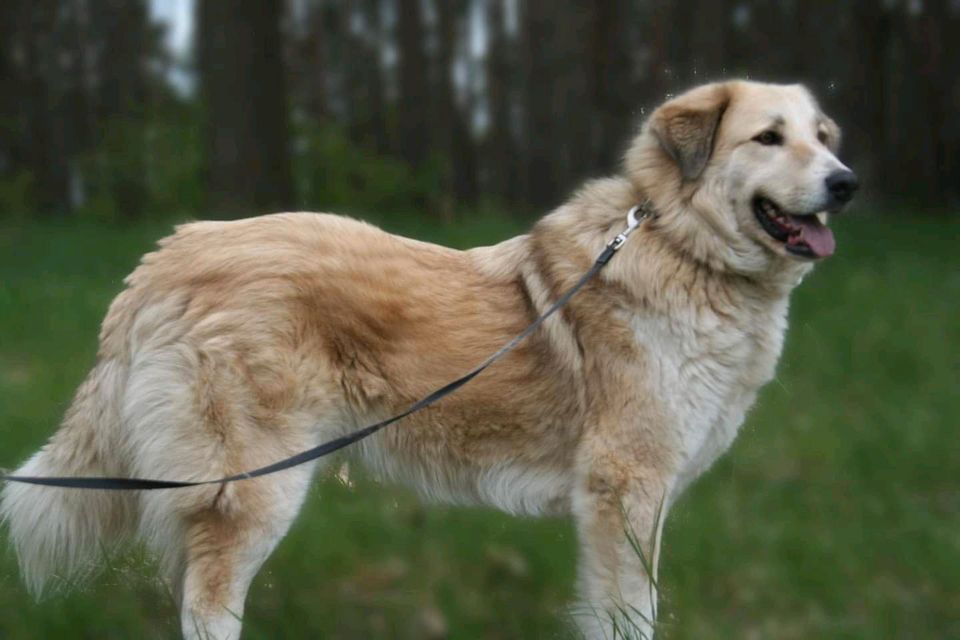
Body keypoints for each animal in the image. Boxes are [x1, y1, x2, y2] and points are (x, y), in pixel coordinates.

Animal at [0, 81, 856, 640]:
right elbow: (629, 614)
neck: (682, 247)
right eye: (768, 138)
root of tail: (167, 257)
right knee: (208, 605)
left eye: (822, 136)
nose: (846, 182)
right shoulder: (626, 491)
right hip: (254, 488)